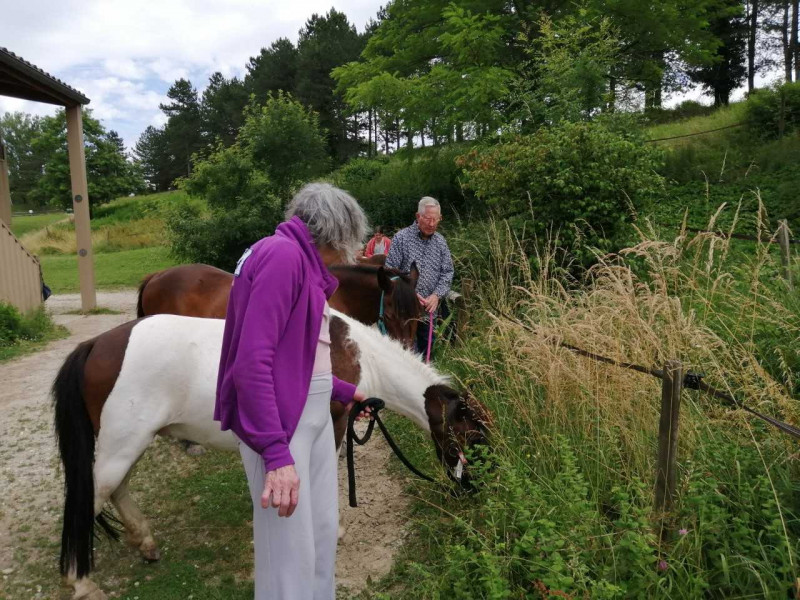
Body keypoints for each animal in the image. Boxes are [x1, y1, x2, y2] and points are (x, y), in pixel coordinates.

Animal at [53, 310, 490, 600]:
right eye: (472, 437)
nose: (475, 489)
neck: (355, 353)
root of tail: (95, 345)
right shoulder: (329, 426)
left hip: (129, 445)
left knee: (117, 489)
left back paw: (144, 543)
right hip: (122, 446)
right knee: (94, 495)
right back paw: (81, 582)